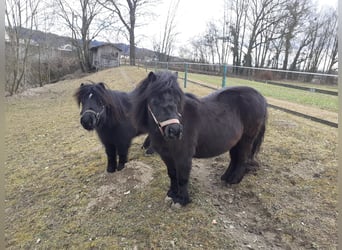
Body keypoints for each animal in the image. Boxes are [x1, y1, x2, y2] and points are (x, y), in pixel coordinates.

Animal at [131, 71, 268, 206]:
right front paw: (172, 193)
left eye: (177, 100)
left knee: (242, 158)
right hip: (235, 141)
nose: (175, 131)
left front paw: (182, 200)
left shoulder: (183, 156)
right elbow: (172, 174)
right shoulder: (167, 156)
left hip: (247, 139)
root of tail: (260, 96)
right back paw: (226, 177)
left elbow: (182, 178)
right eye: (154, 101)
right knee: (235, 158)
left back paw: (234, 180)